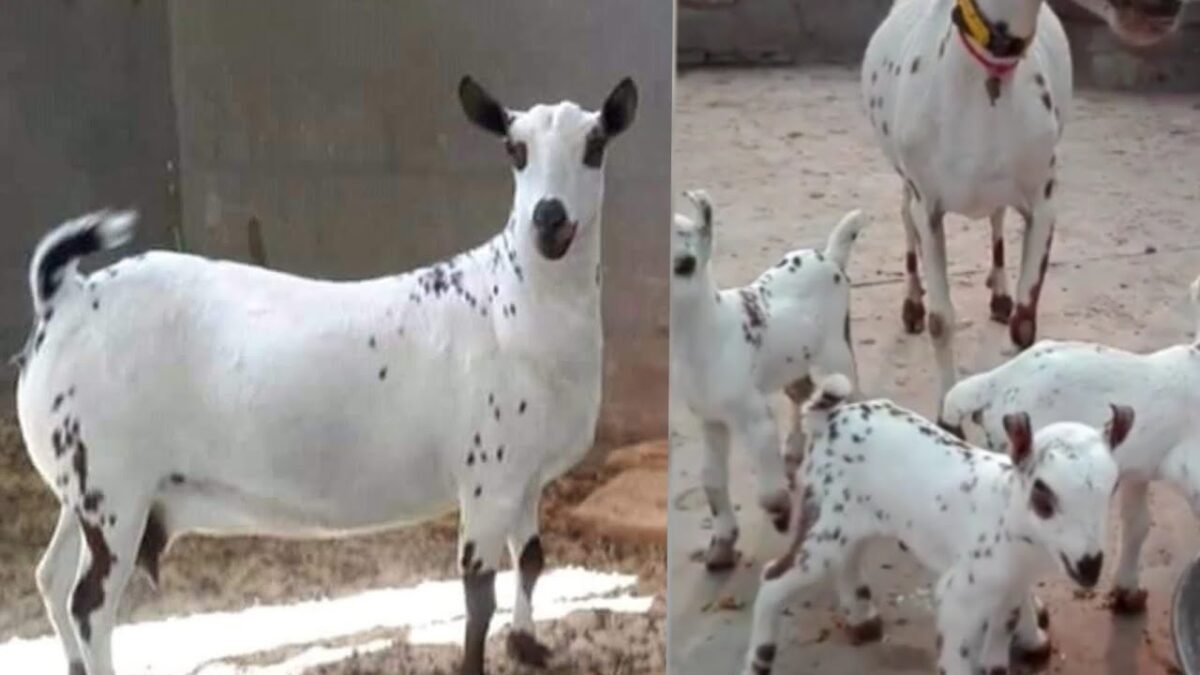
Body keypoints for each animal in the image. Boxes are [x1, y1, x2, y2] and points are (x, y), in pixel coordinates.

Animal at [13, 76, 637, 675]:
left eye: (596, 145)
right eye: (515, 149)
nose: (549, 219)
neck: (509, 302)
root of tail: (67, 296)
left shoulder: (526, 479)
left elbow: (531, 561)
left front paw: (528, 645)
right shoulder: (487, 475)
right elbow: (478, 595)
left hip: (83, 486)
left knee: (50, 576)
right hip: (113, 489)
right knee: (89, 604)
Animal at [670, 190, 869, 570]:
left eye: (685, 264)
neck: (714, 334)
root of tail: (831, 256)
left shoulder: (755, 416)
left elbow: (767, 491)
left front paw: (780, 514)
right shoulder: (711, 420)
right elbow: (711, 480)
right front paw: (721, 546)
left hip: (835, 352)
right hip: (794, 362)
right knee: (801, 392)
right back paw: (793, 449)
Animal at [745, 375, 1130, 675]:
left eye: (1114, 487)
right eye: (1043, 493)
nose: (1090, 566)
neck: (1004, 516)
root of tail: (828, 419)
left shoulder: (1008, 593)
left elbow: (997, 653)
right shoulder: (958, 597)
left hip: (851, 520)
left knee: (848, 558)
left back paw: (862, 617)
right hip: (824, 521)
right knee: (773, 579)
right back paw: (760, 659)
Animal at [861, 0, 1181, 423]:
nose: (1163, 8)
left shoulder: (1043, 202)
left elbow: (1025, 324)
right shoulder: (927, 203)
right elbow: (941, 321)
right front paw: (948, 419)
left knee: (996, 217)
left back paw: (998, 293)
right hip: (905, 183)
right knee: (904, 221)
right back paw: (912, 303)